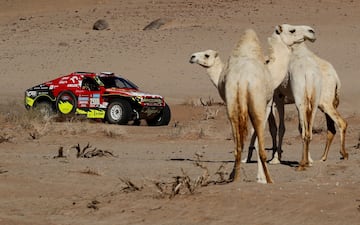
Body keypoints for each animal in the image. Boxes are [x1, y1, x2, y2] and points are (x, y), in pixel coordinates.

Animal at [188, 25, 316, 183]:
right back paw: (273, 175)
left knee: (238, 144)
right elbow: (261, 136)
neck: (272, 71)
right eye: (292, 30)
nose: (311, 32)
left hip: (233, 105)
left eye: (206, 55)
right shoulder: (266, 105)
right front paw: (260, 176)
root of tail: (242, 79)